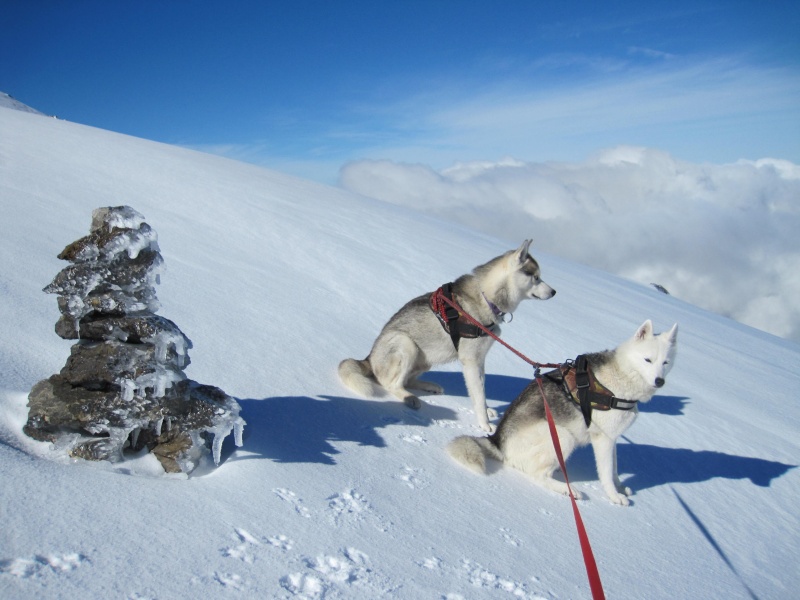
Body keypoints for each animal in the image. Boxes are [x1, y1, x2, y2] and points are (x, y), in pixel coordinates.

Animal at [338, 239, 556, 432]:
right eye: (536, 277)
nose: (554, 292)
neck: (486, 297)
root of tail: (368, 357)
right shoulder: (470, 361)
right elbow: (479, 396)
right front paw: (485, 424)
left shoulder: (480, 360)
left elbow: (482, 390)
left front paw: (487, 411)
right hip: (405, 343)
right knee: (390, 384)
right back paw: (410, 398)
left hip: (426, 358)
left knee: (407, 380)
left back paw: (429, 386)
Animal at [446, 322, 680, 504]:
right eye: (647, 359)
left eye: (665, 362)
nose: (659, 381)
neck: (622, 376)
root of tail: (497, 441)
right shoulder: (603, 439)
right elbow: (606, 474)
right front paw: (614, 496)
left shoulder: (612, 438)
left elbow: (614, 470)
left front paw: (620, 488)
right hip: (563, 435)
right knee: (536, 475)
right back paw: (568, 489)